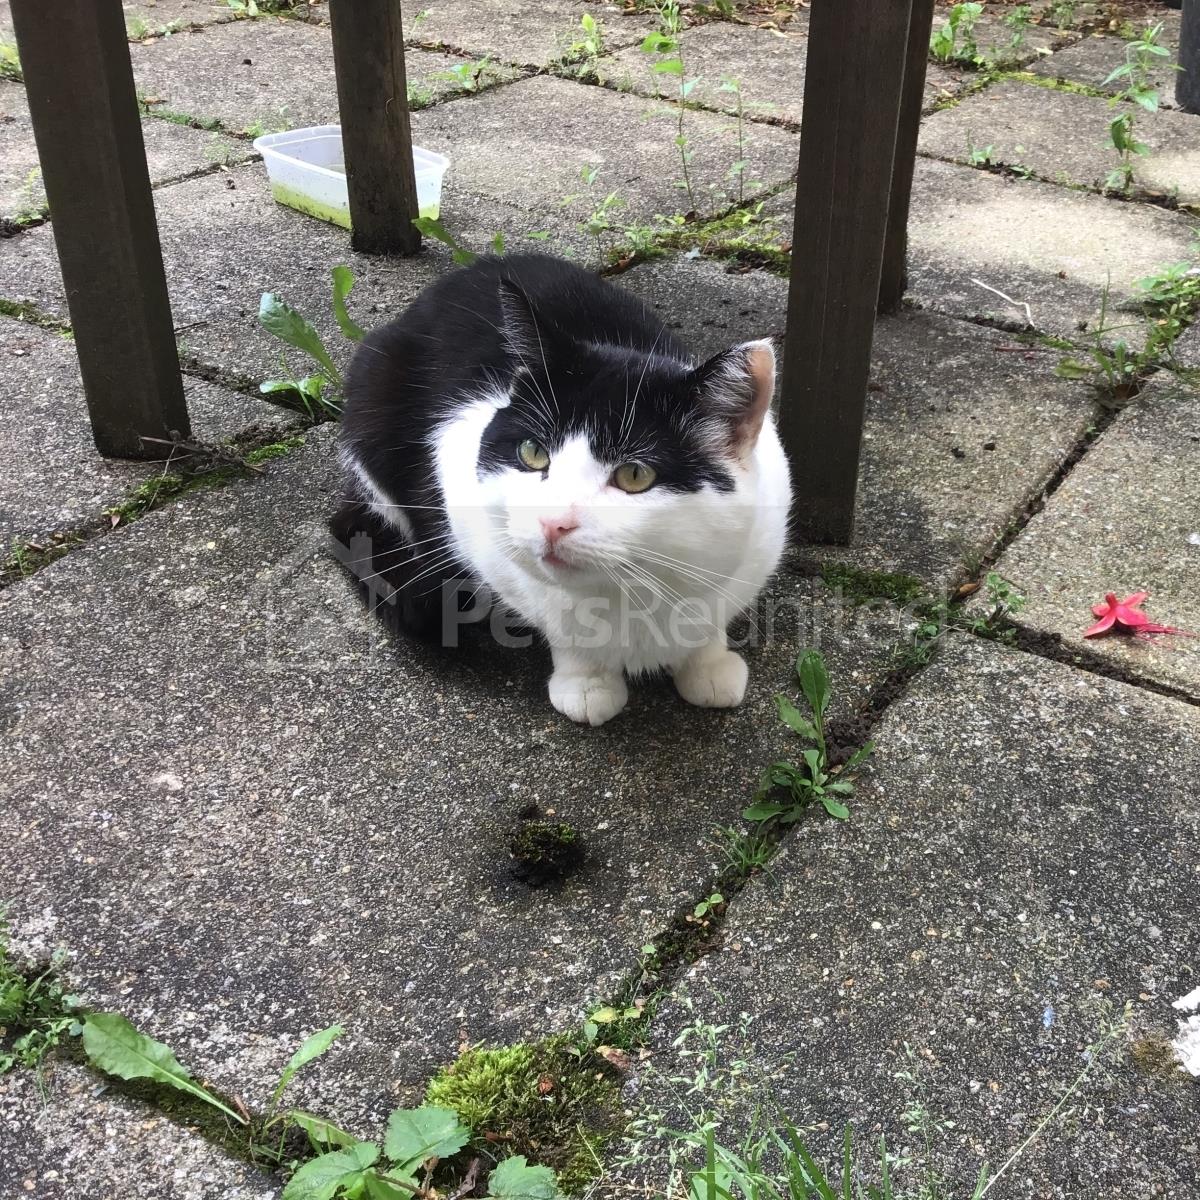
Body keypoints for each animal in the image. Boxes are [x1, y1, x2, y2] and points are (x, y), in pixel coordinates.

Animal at [331, 253, 792, 726]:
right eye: (533, 452)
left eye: (635, 475)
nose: (553, 523)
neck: (629, 595)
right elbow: (558, 624)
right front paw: (586, 682)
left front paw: (708, 664)